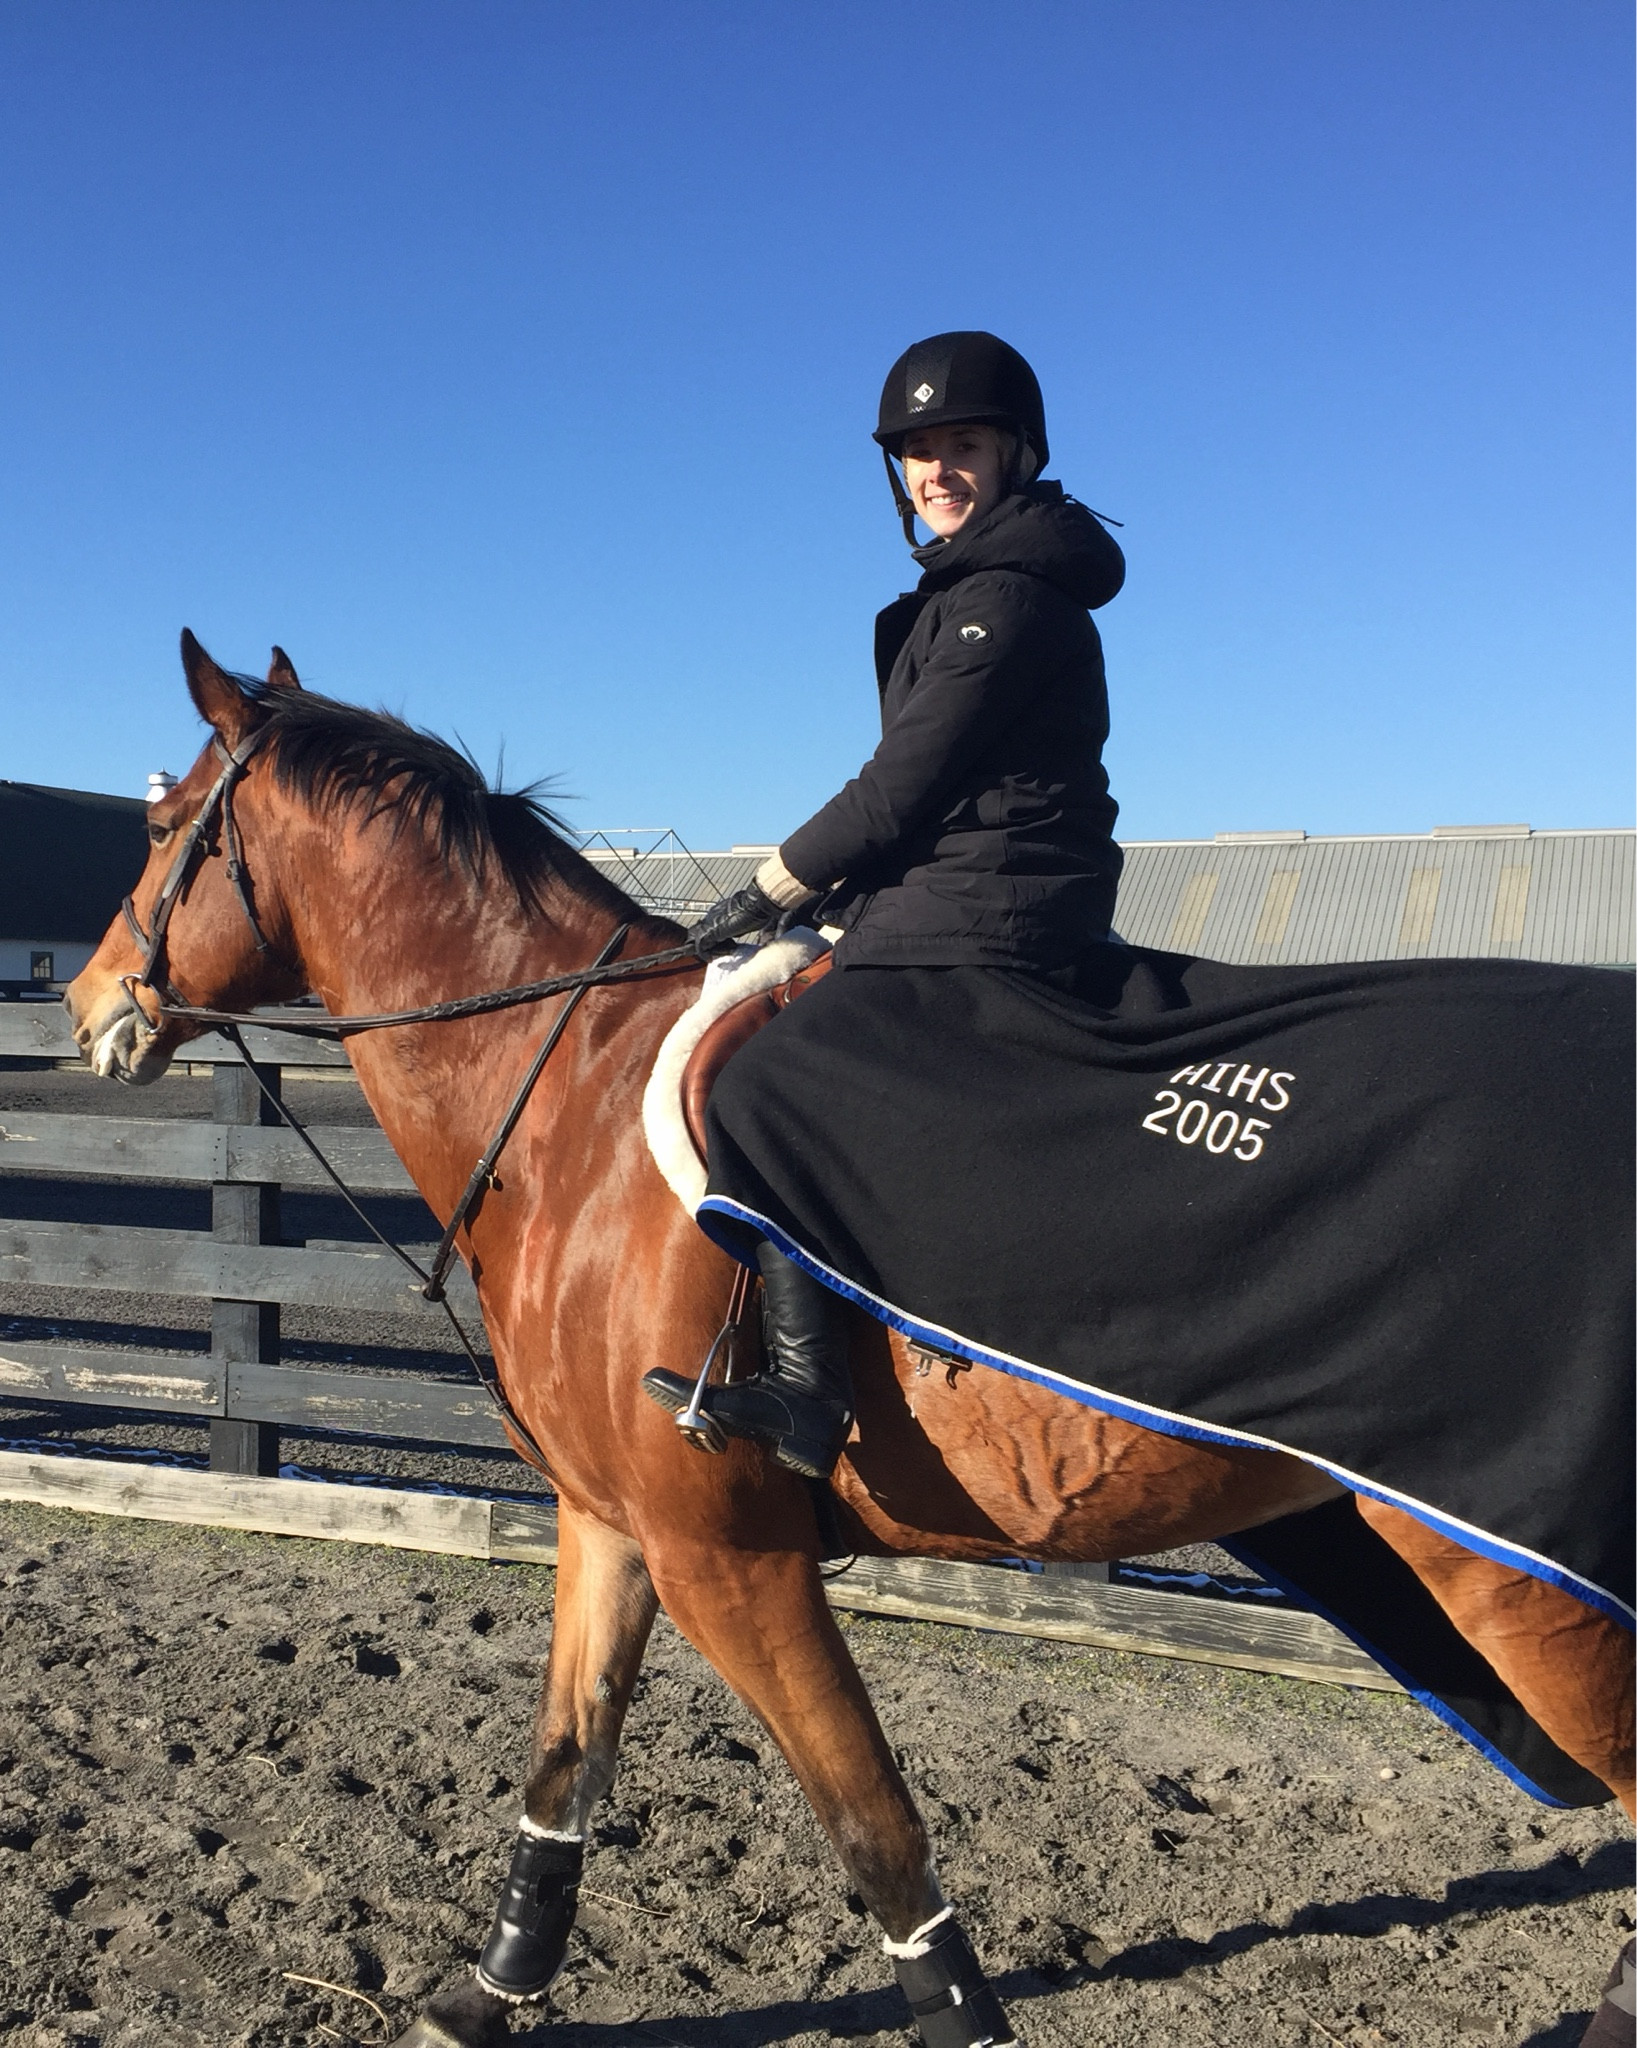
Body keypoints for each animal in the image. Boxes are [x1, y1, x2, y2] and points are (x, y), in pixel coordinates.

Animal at [64, 635, 1633, 2048]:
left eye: (158, 822)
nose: (86, 1008)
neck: (572, 1099)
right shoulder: (610, 1524)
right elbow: (567, 1767)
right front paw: (487, 1994)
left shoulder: (729, 1559)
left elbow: (872, 1825)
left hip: (1527, 1592)